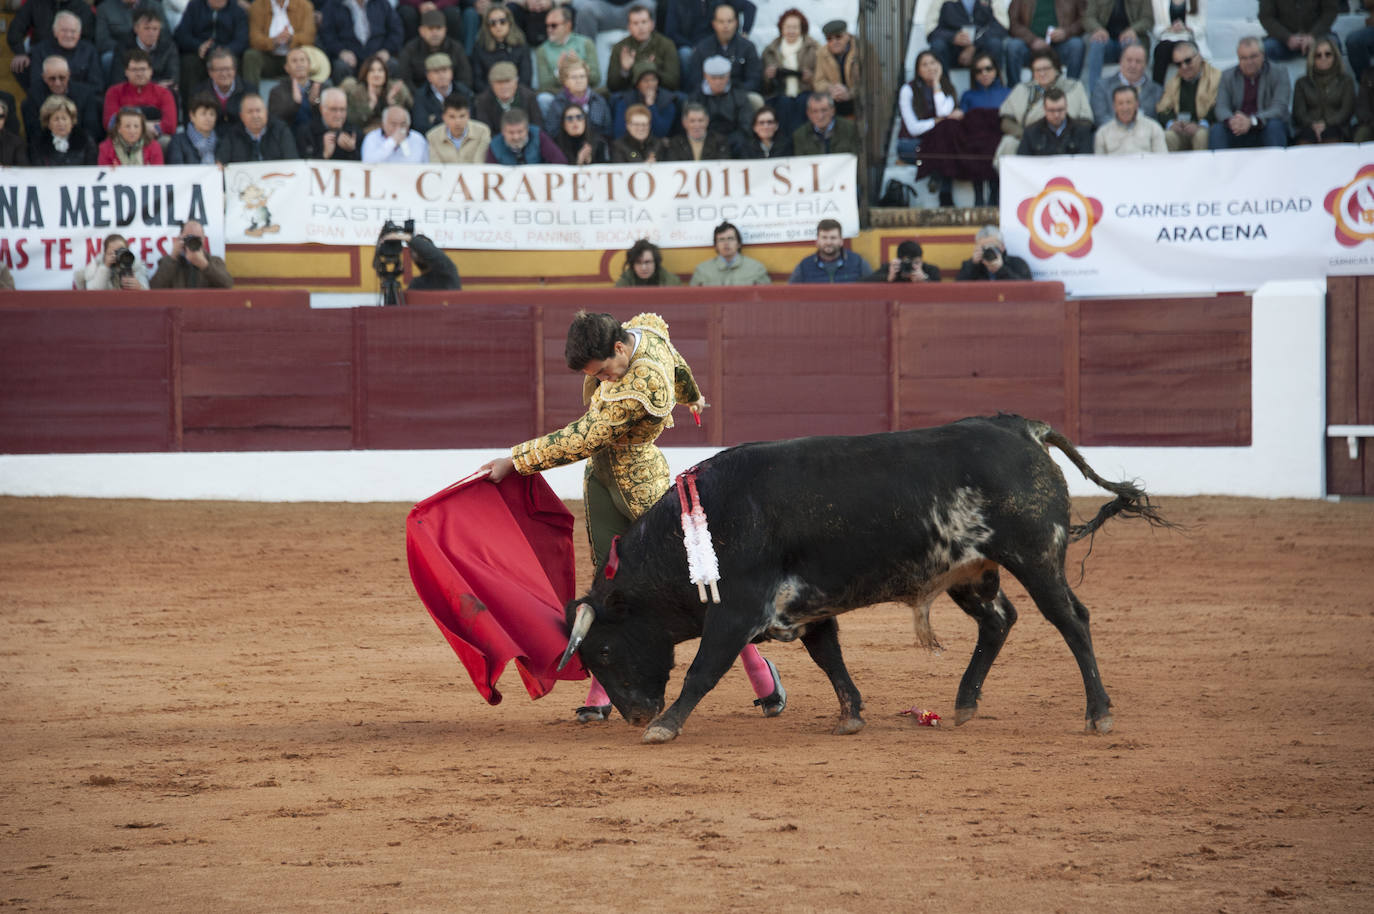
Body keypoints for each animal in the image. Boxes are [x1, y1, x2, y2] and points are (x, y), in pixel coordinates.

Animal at [557, 412, 1170, 742]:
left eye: (603, 652)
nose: (636, 714)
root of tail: (1021, 428)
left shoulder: (736, 610)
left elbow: (702, 670)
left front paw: (666, 726)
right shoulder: (803, 609)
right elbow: (830, 658)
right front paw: (851, 716)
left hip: (1036, 557)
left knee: (1071, 619)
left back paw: (1099, 714)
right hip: (971, 571)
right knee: (999, 621)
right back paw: (964, 704)